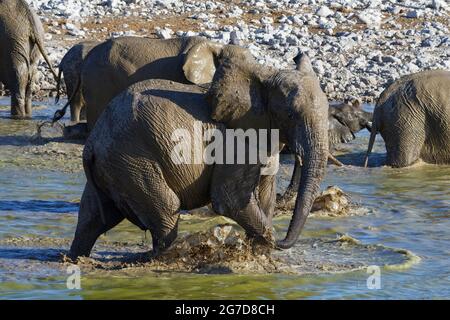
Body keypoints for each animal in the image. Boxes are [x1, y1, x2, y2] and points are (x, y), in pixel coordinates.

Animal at [67, 46, 326, 260]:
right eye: (291, 115)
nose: (282, 241)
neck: (263, 78)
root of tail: (91, 144)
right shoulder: (234, 140)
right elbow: (230, 198)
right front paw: (264, 244)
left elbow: (265, 195)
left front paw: (260, 252)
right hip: (131, 161)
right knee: (166, 211)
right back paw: (159, 260)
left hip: (113, 165)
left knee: (93, 217)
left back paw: (76, 258)